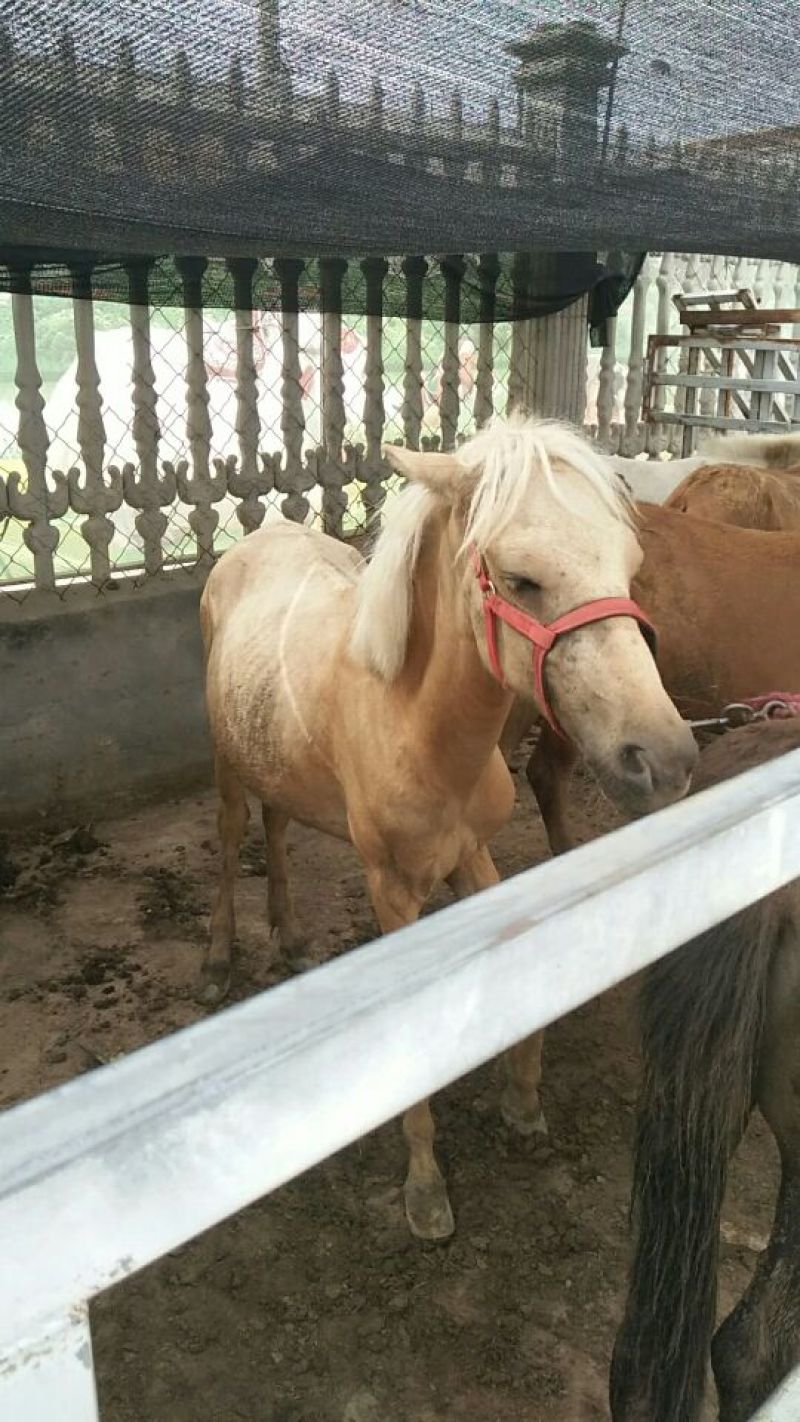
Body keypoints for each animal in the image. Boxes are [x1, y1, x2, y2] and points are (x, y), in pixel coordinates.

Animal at [200, 415, 696, 1240]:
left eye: (629, 568)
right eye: (522, 578)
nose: (663, 760)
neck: (416, 725)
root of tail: (253, 542)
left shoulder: (475, 858)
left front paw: (521, 1102)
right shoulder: (392, 890)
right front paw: (425, 1187)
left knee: (276, 826)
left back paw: (292, 937)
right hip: (228, 764)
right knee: (236, 831)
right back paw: (219, 954)